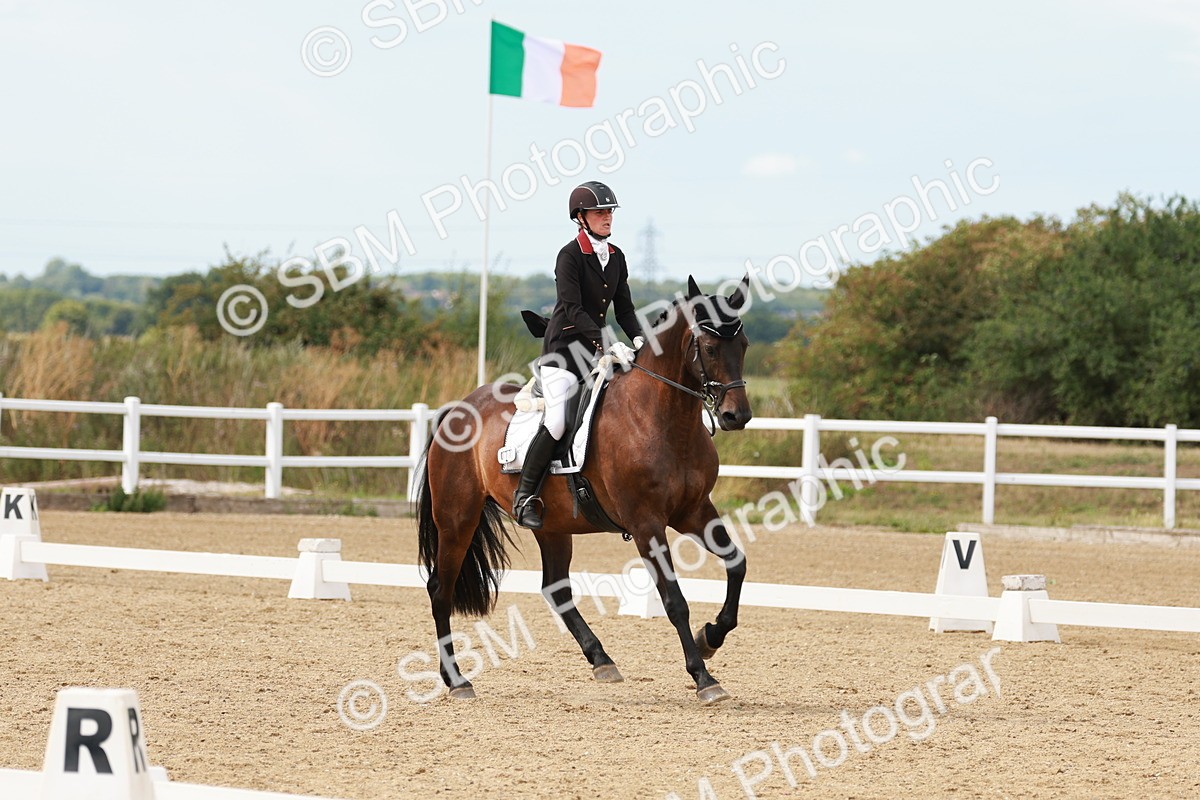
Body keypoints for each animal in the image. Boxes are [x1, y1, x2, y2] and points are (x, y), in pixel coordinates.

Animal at [416, 275, 753, 704]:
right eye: (709, 347)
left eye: (743, 345)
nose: (736, 416)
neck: (661, 418)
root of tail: (455, 409)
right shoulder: (646, 524)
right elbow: (674, 601)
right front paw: (704, 678)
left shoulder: (693, 511)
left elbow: (737, 563)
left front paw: (711, 637)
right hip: (457, 519)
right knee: (440, 589)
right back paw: (457, 680)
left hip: (552, 526)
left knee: (556, 589)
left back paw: (601, 660)